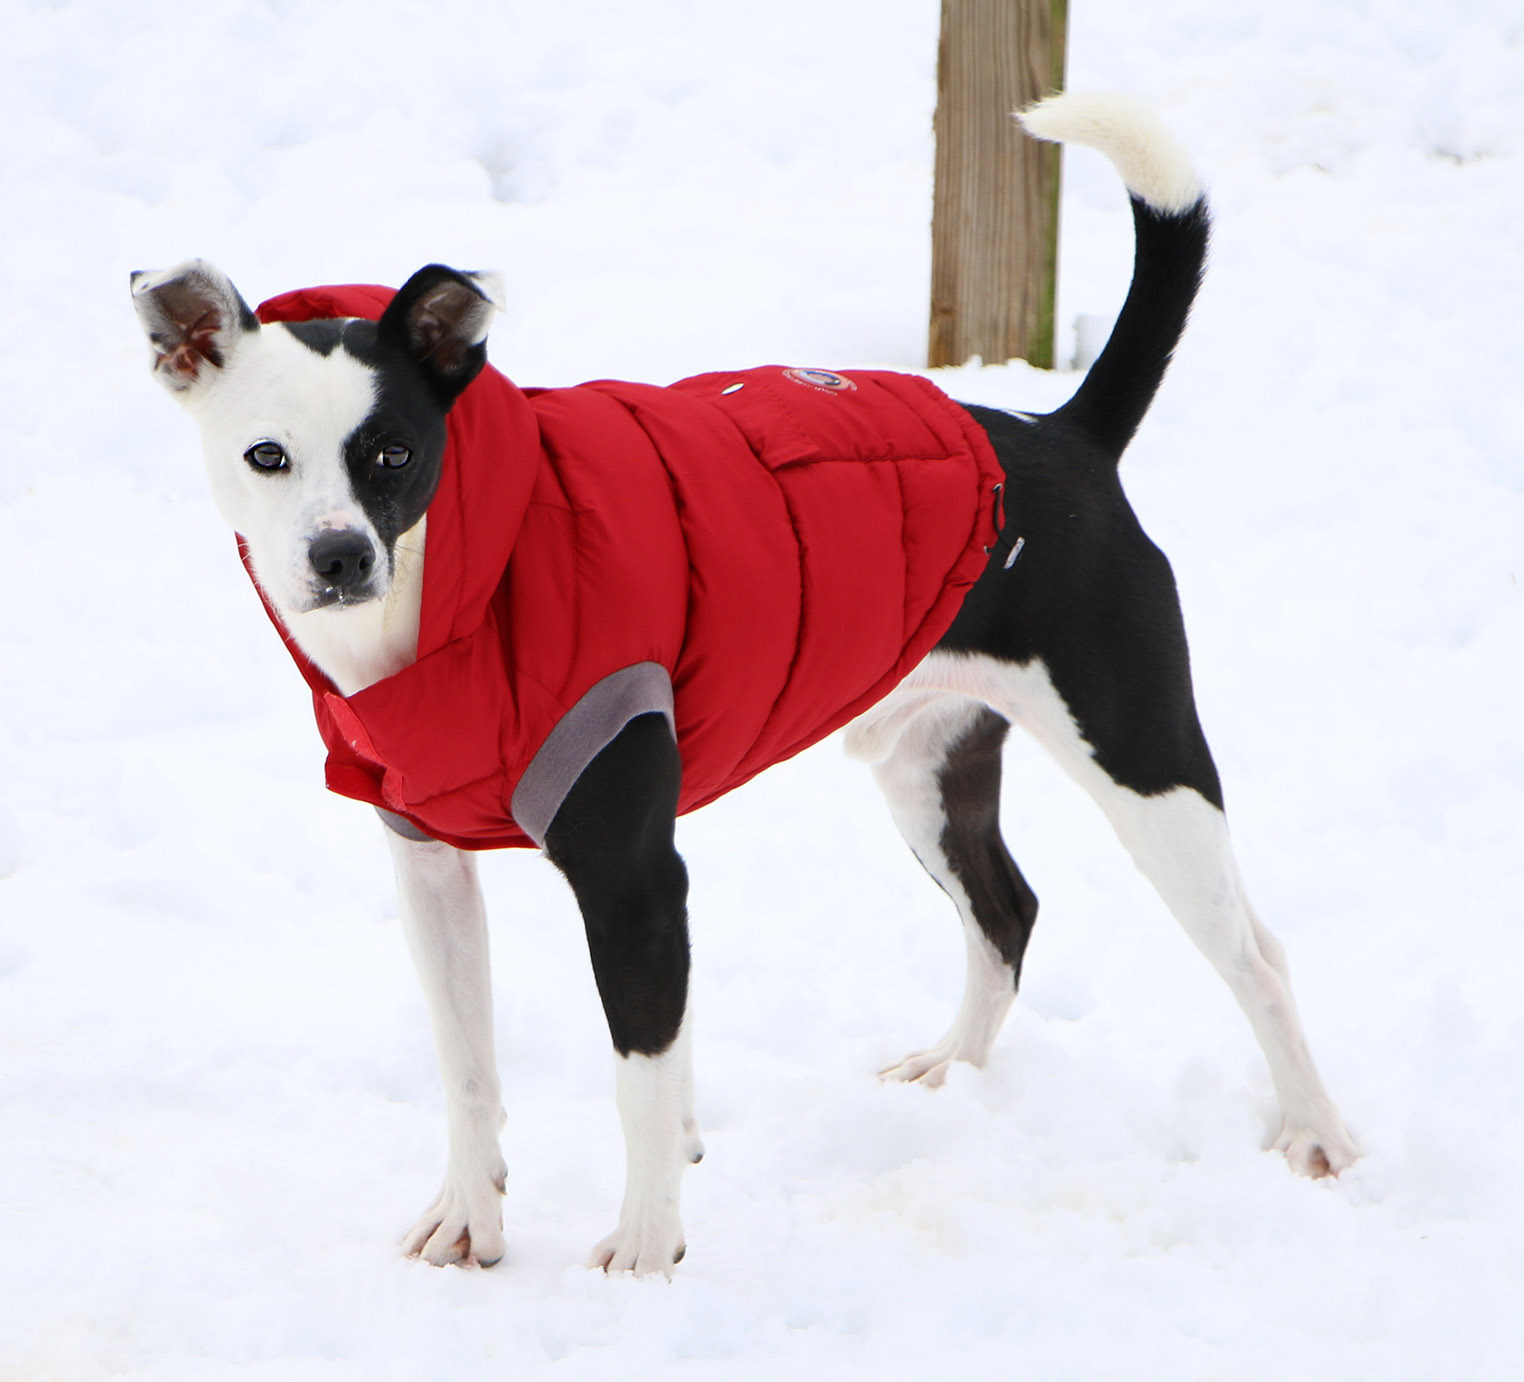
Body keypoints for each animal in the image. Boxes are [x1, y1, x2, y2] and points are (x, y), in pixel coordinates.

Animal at [131, 97, 1359, 1279]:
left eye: (392, 452)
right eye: (267, 455)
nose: (339, 556)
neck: (458, 594)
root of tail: (1064, 437)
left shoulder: (633, 882)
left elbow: (639, 1074)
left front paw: (644, 1248)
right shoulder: (430, 868)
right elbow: (468, 1067)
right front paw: (469, 1221)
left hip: (1146, 764)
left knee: (1258, 954)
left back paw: (1317, 1133)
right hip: (927, 768)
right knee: (1007, 909)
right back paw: (952, 1069)